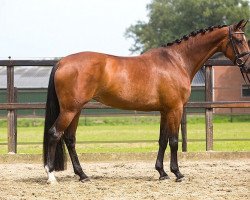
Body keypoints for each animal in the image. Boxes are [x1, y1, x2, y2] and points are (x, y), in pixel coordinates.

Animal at [43, 19, 250, 184]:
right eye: (239, 40)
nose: (247, 66)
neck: (177, 61)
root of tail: (62, 62)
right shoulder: (175, 109)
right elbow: (174, 141)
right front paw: (177, 173)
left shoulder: (165, 111)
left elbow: (162, 140)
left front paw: (162, 173)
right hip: (69, 110)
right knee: (54, 133)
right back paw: (51, 175)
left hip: (76, 110)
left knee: (69, 139)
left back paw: (83, 175)